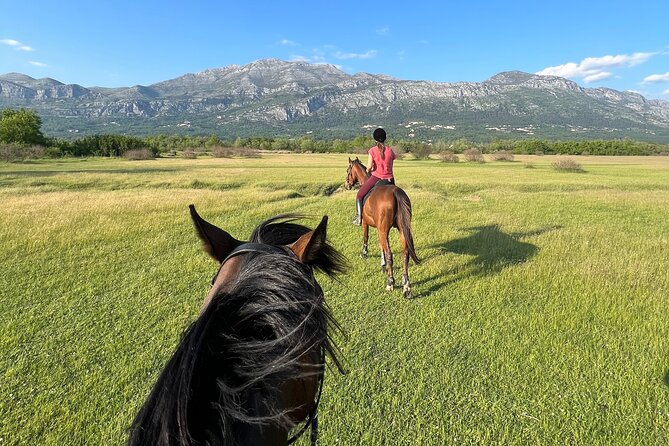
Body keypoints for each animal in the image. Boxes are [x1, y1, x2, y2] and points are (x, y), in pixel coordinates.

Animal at [344, 158, 418, 300]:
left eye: (348, 170)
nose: (346, 185)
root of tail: (395, 192)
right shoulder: (379, 229)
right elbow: (381, 245)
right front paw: (382, 265)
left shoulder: (366, 223)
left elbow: (366, 238)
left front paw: (364, 254)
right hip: (402, 229)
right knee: (405, 254)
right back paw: (406, 287)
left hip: (384, 230)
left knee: (390, 254)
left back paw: (390, 283)